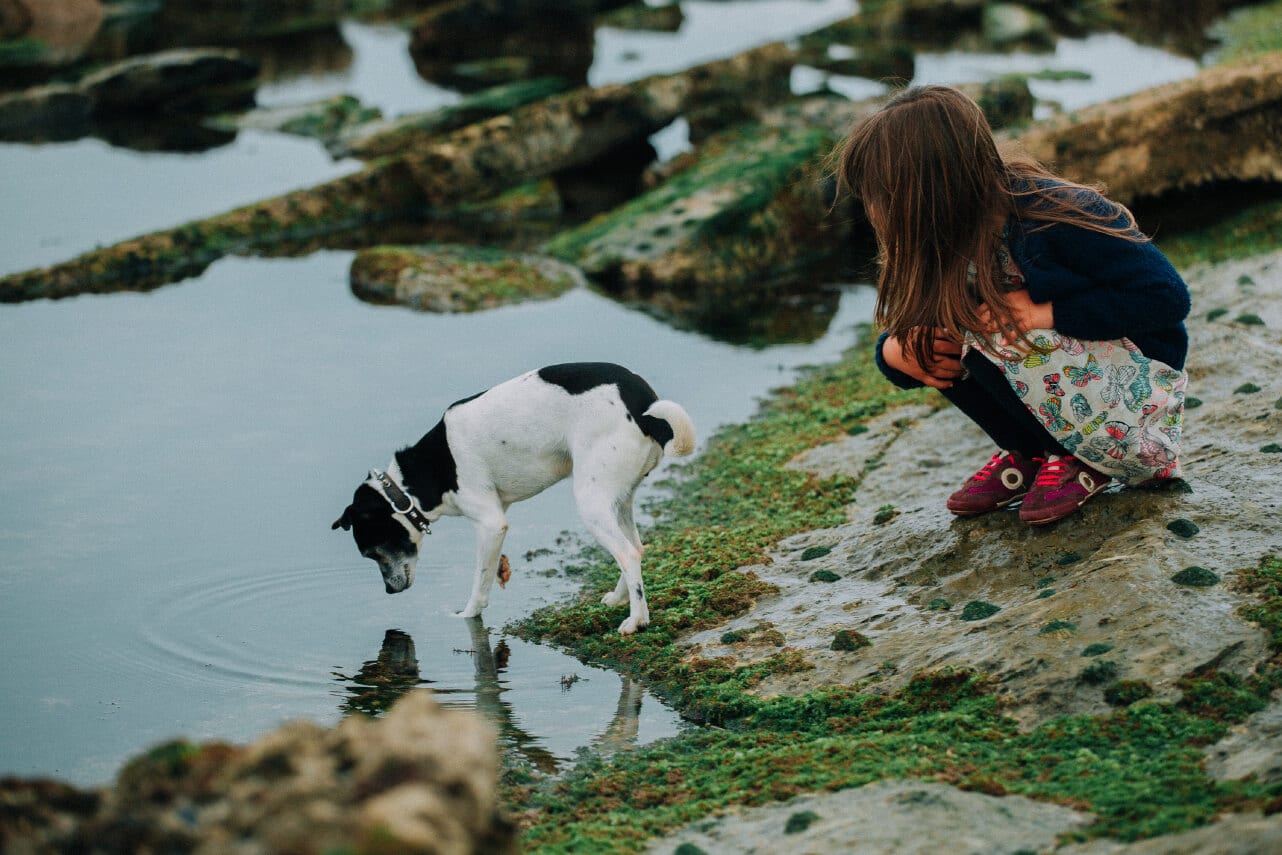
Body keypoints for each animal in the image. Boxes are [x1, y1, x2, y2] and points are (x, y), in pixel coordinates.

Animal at [328, 361, 692, 635]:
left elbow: (480, 581)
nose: (390, 591)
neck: (427, 472)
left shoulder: (491, 525)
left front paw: (466, 614)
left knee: (627, 554)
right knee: (635, 548)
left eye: (373, 553)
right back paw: (619, 599)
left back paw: (637, 620)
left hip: (591, 503)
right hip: (617, 500)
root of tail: (643, 408)